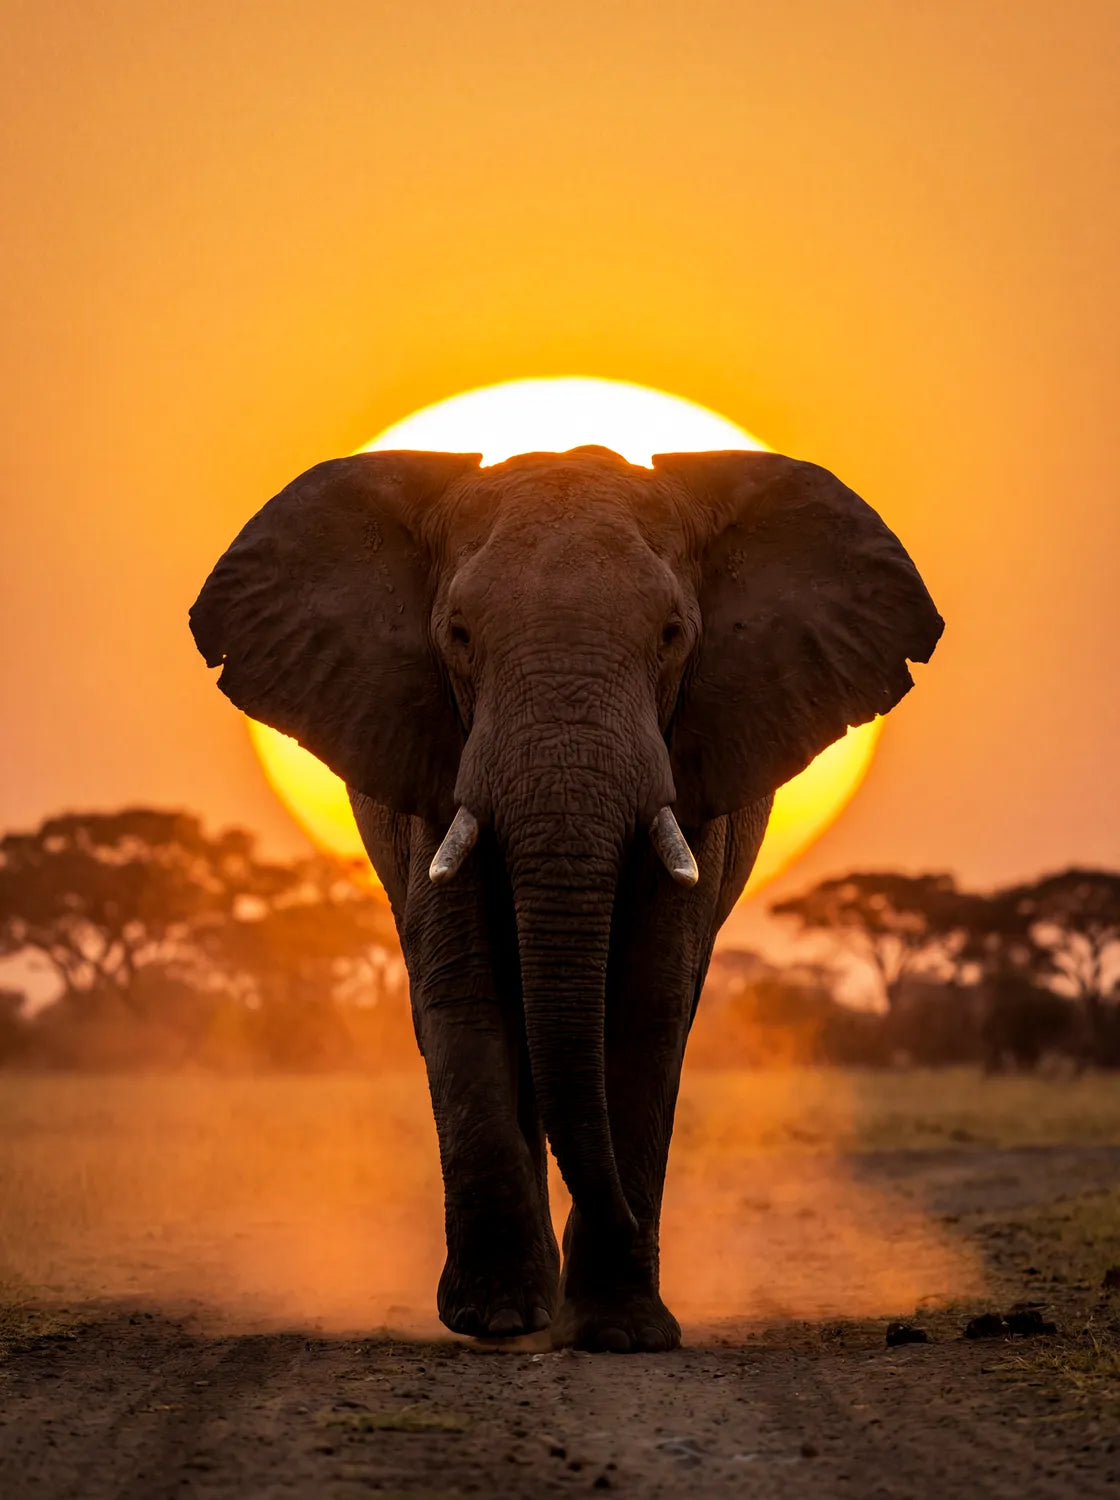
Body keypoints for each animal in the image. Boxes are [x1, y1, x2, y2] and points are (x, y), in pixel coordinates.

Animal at [190, 444, 942, 1352]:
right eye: (458, 636)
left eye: (672, 635)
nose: (620, 1222)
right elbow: (465, 989)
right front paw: (497, 1320)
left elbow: (649, 1002)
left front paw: (621, 1331)